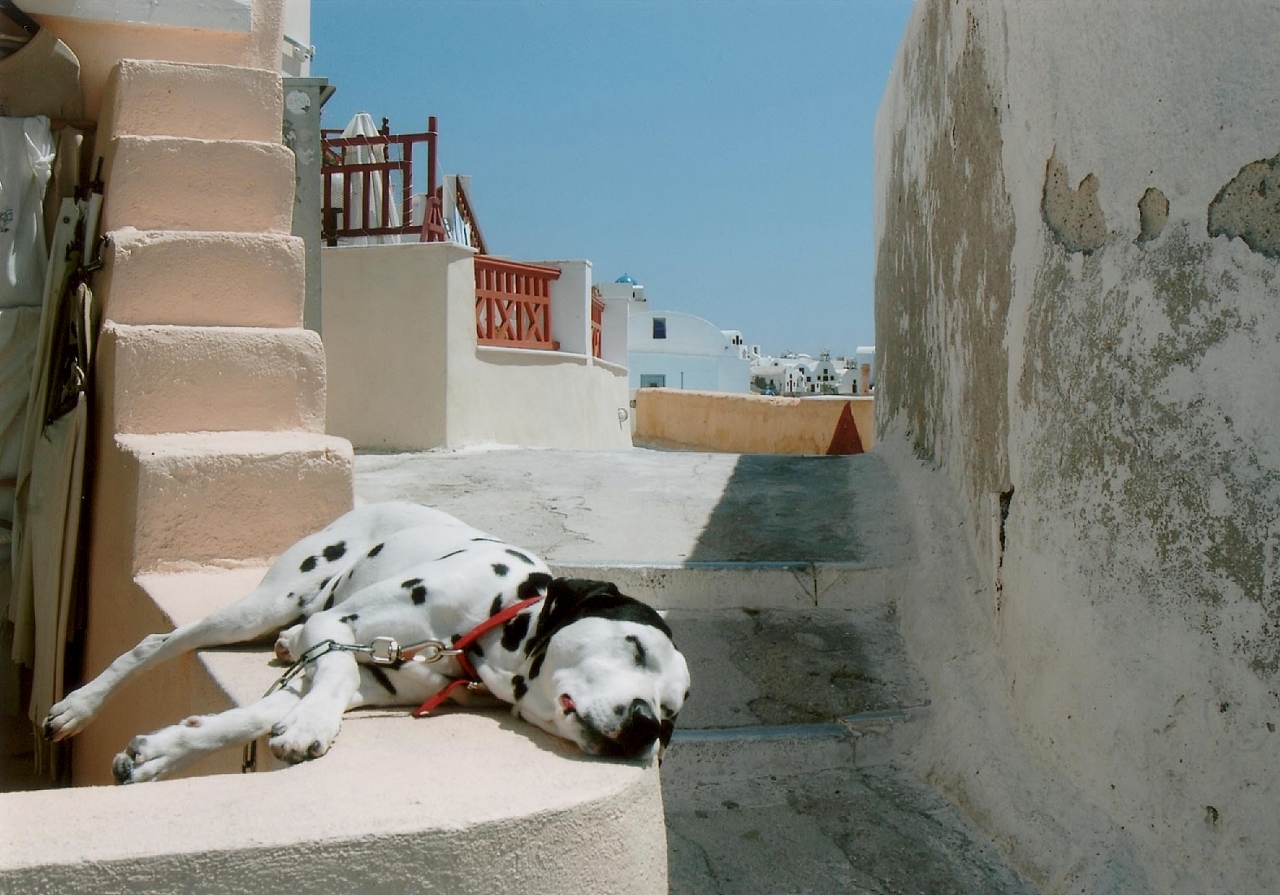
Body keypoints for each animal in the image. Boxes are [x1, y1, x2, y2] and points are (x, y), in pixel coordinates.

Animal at [42, 504, 691, 783]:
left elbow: (251, 716)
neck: (481, 633)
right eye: (635, 648)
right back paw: (78, 706)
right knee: (157, 641)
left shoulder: (357, 672)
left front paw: (161, 753)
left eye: (670, 714)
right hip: (267, 603)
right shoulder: (342, 631)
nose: (645, 728)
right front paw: (310, 728)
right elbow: (334, 676)